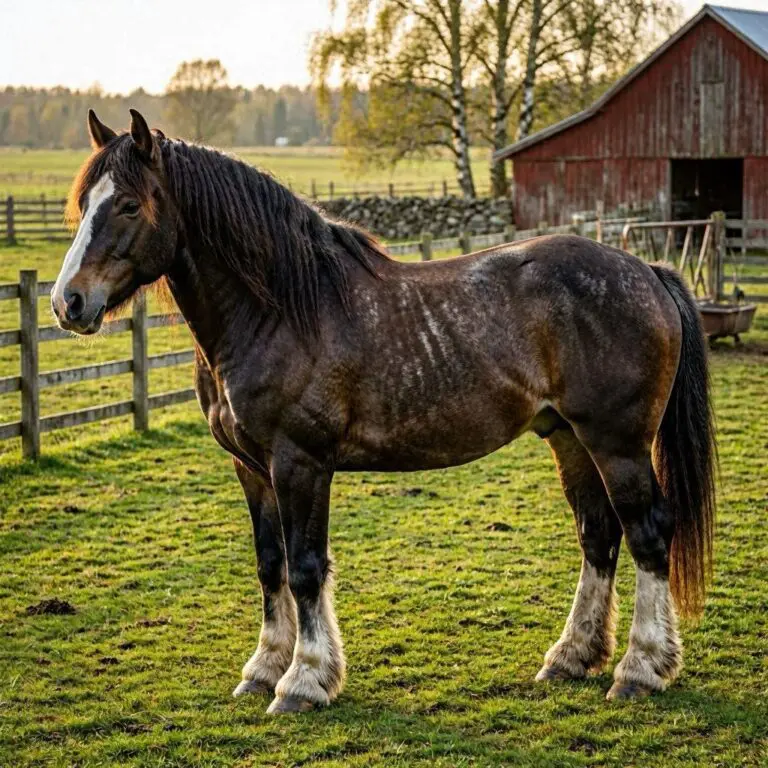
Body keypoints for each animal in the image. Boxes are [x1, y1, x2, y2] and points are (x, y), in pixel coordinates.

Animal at [51, 109, 716, 714]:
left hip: (618, 444)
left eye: (129, 205)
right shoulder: (251, 468)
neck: (279, 310)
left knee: (648, 534)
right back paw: (571, 658)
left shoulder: (300, 463)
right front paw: (264, 669)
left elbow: (305, 567)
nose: (67, 302)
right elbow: (270, 565)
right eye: (84, 203)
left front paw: (303, 681)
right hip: (570, 439)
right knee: (597, 536)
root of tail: (646, 271)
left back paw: (640, 670)